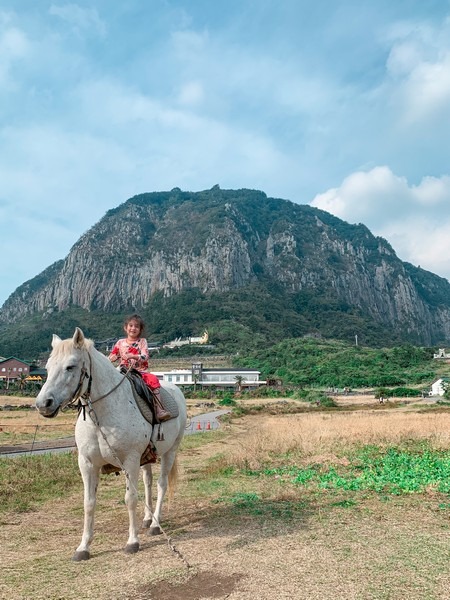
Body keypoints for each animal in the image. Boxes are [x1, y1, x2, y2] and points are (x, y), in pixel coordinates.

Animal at [34, 326, 186, 560]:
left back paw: (155, 524)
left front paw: (132, 542)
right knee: (148, 482)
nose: (43, 404)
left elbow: (130, 498)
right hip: (147, 457)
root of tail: (176, 390)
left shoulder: (130, 461)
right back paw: (147, 519)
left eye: (70, 366)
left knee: (161, 484)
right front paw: (83, 547)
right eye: (48, 368)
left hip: (170, 451)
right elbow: (89, 503)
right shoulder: (87, 464)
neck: (102, 416)